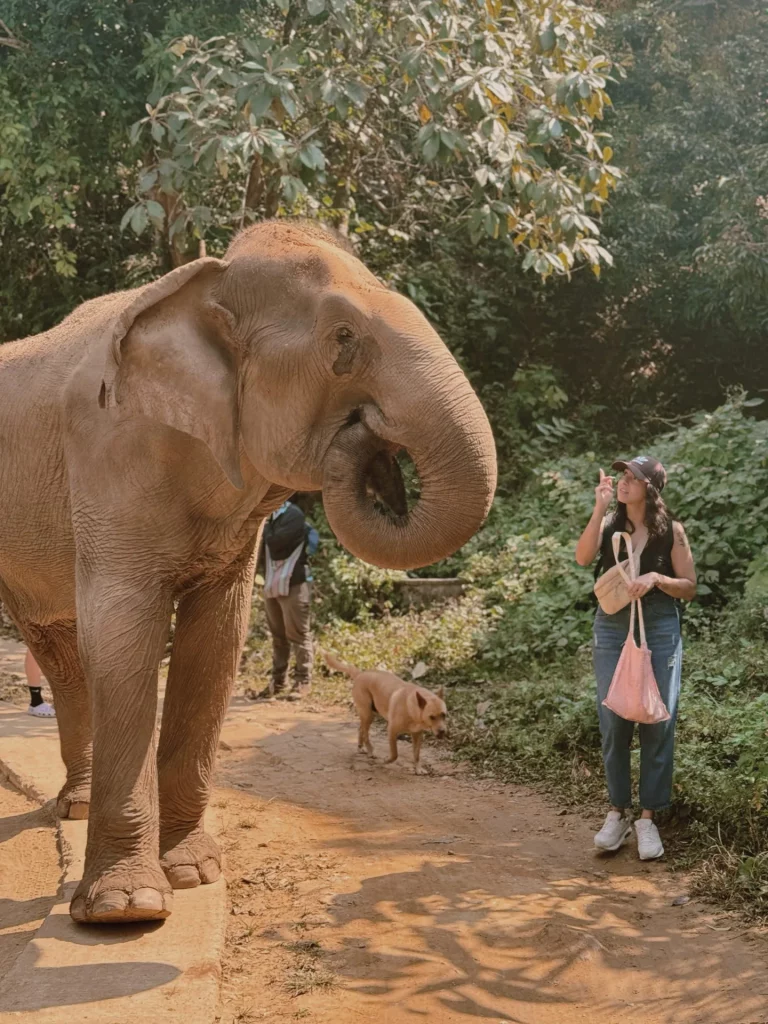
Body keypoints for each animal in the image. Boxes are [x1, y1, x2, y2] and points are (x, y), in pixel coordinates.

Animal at [0, 219, 496, 924]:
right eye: (343, 339)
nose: (365, 436)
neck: (205, 282)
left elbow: (217, 641)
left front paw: (192, 873)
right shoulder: (105, 452)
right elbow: (124, 635)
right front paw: (127, 910)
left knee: (57, 647)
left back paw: (75, 806)